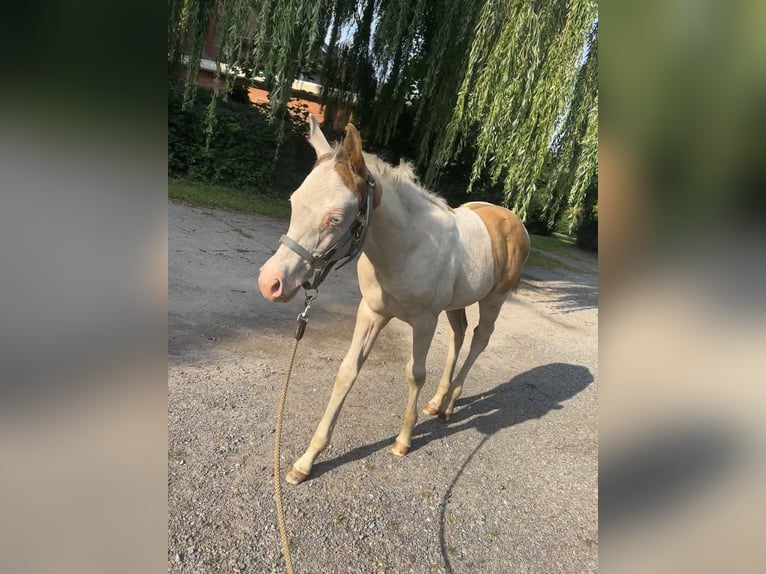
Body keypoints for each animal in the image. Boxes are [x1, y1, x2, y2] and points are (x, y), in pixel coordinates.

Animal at [258, 117, 528, 486]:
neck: (406, 248)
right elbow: (347, 371)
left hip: (492, 301)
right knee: (459, 335)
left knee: (479, 341)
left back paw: (449, 405)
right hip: (456, 303)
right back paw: (437, 402)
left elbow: (415, 374)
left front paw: (403, 440)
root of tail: (514, 221)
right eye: (293, 201)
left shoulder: (425, 321)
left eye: (335, 218)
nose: (271, 282)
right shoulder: (372, 312)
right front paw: (306, 462)